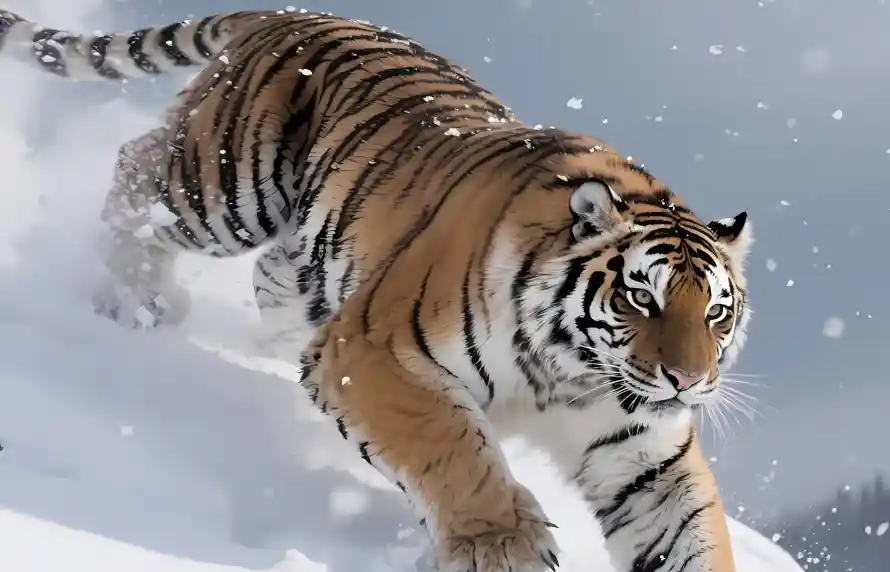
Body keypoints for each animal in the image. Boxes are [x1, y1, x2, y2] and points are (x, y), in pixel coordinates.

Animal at [0, 8, 754, 572]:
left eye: (717, 314)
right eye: (641, 298)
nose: (688, 381)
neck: (569, 371)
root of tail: (298, 12)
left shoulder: (642, 450)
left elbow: (690, 530)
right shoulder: (372, 352)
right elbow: (452, 447)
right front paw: (501, 545)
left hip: (304, 264)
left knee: (263, 279)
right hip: (226, 189)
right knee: (136, 170)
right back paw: (134, 300)